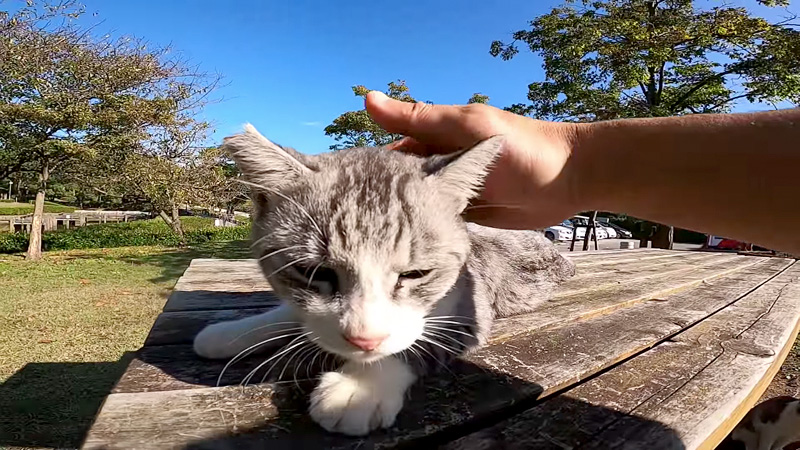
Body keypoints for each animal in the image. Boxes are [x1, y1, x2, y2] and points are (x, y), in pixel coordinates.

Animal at [192, 124, 576, 436]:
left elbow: (416, 340)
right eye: (315, 272)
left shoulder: (471, 304)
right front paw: (235, 331)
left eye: (415, 274)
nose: (363, 339)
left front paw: (359, 387)